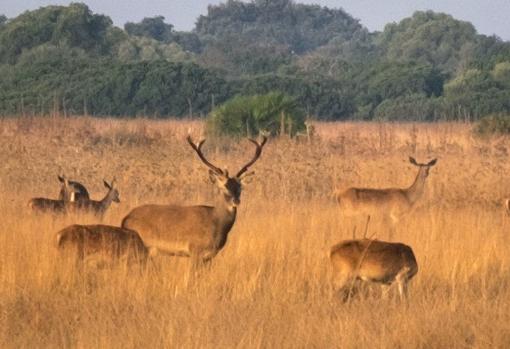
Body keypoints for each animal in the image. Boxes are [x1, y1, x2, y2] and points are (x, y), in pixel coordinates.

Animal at [122, 135, 268, 262]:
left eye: (240, 187)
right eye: (224, 187)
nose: (236, 201)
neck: (216, 224)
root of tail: (125, 219)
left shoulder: (210, 256)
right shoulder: (195, 250)